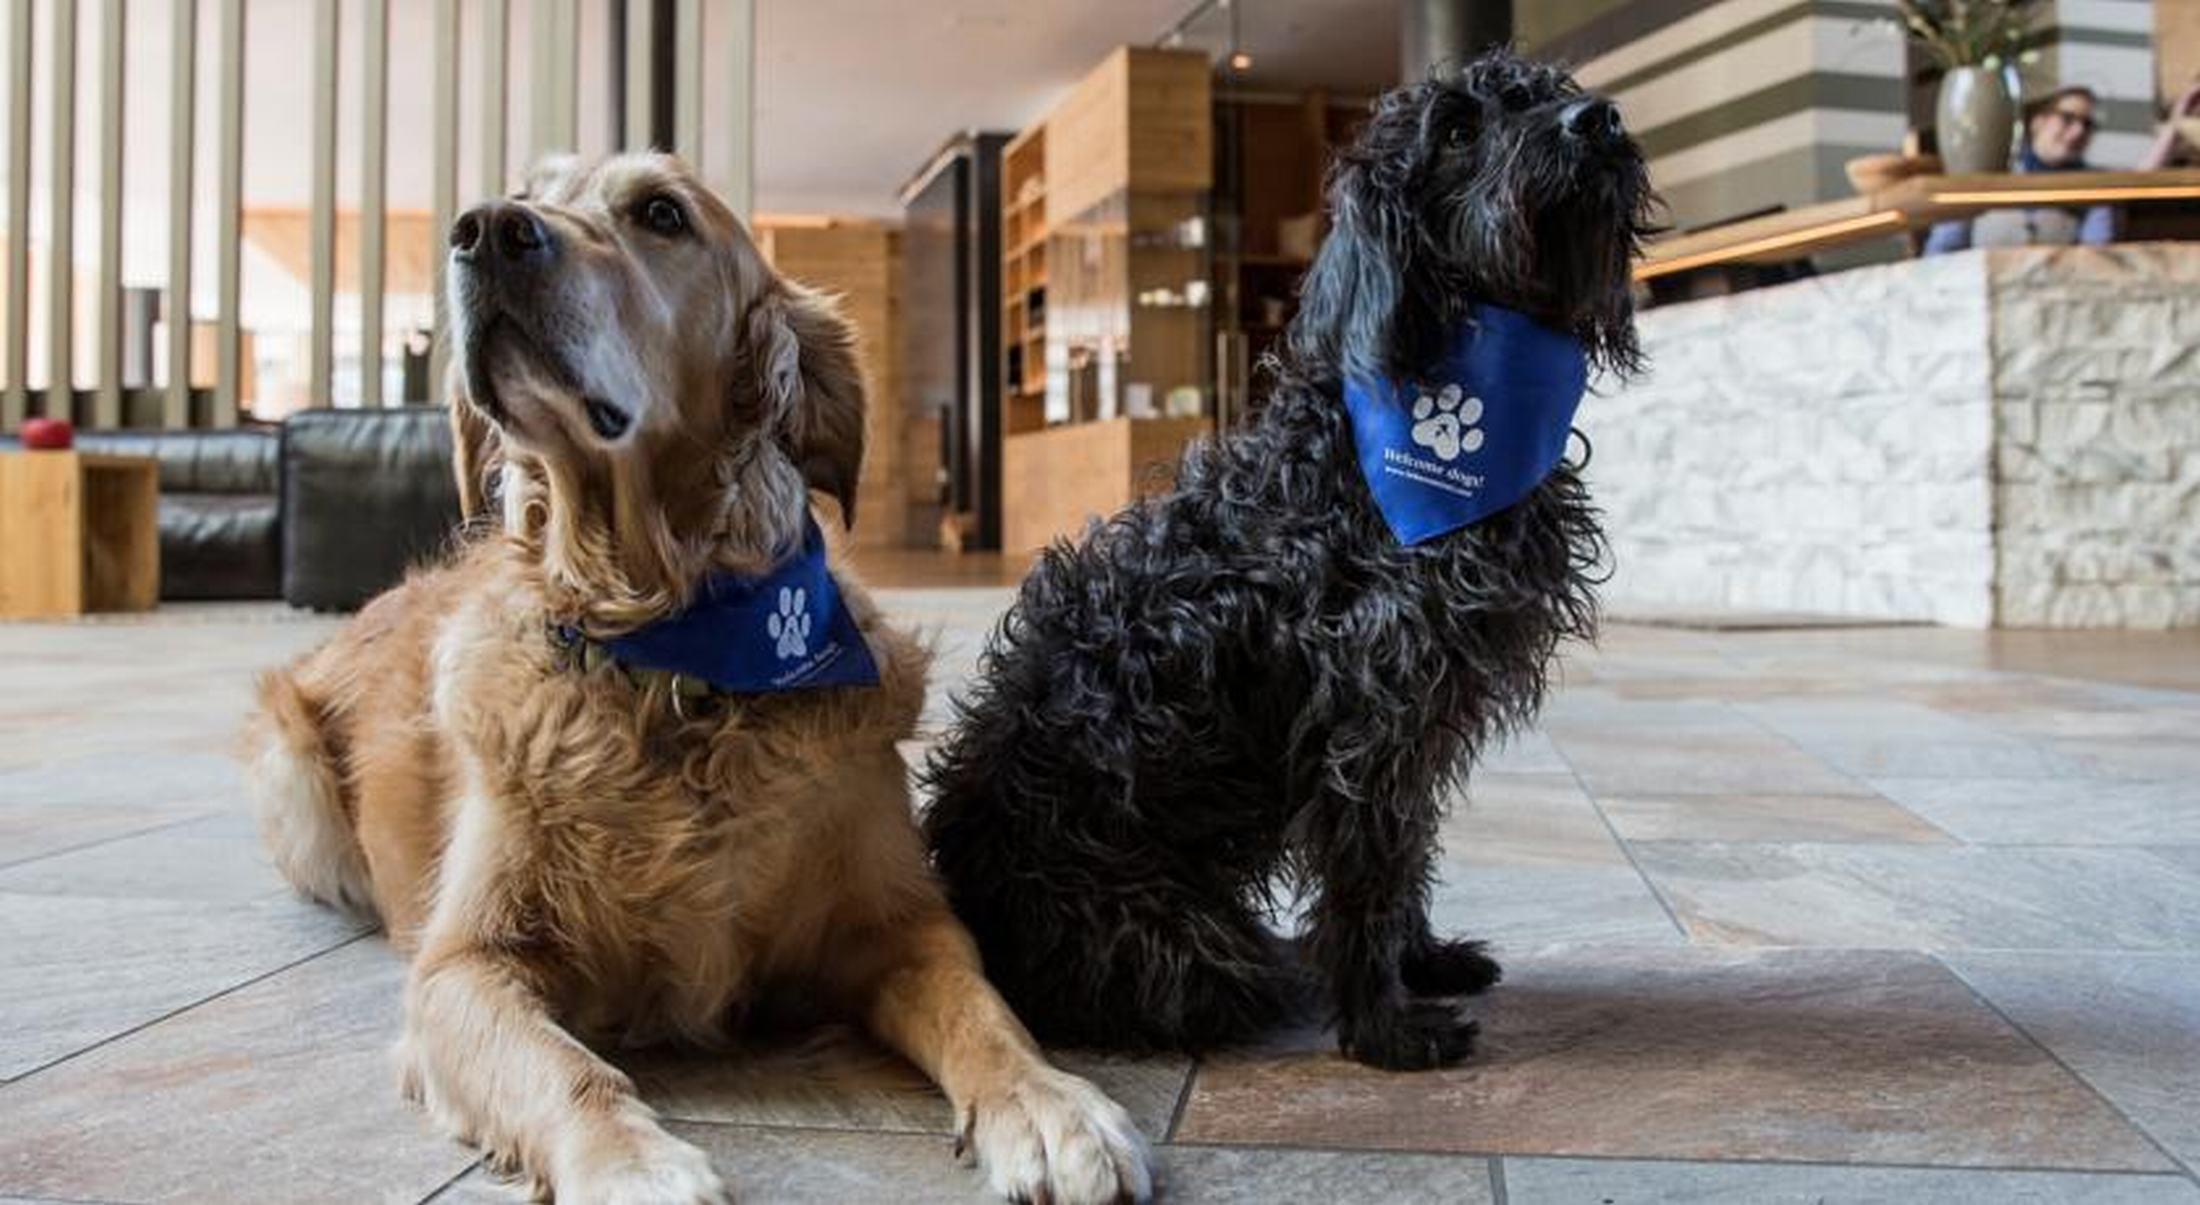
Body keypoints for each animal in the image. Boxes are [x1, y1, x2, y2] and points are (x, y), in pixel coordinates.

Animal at [245, 152, 1152, 1204]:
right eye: (529, 190)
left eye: (661, 214)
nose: (484, 230)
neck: (671, 650)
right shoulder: (464, 965)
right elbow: (566, 1068)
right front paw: (634, 1167)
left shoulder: (899, 920)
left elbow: (983, 1008)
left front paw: (1051, 1105)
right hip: (294, 782)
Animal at [919, 51, 1654, 1068]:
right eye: (1457, 131)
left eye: (1549, 92)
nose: (1602, 120)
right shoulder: (1372, 711)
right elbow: (1369, 867)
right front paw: (1385, 1026)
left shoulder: (1414, 721)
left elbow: (1404, 851)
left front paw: (1420, 961)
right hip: (1182, 939)